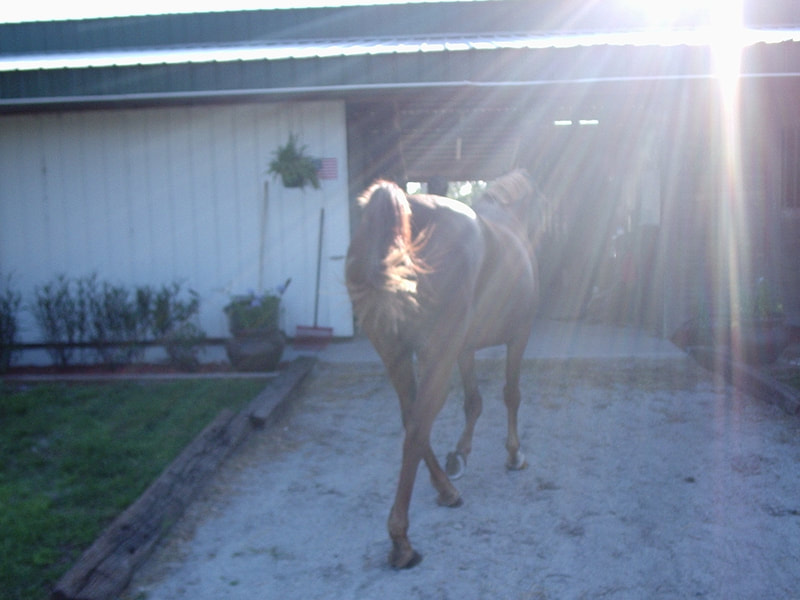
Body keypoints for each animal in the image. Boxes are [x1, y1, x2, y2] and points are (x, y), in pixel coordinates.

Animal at [345, 169, 542, 569]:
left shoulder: (463, 349)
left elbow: (474, 402)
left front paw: (460, 456)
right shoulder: (519, 336)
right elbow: (511, 395)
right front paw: (514, 454)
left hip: (398, 356)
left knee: (411, 420)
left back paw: (447, 490)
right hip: (435, 355)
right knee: (418, 426)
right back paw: (402, 542)